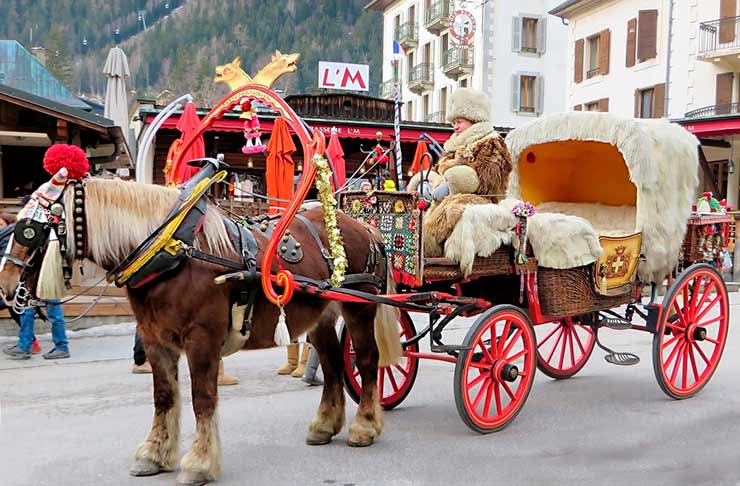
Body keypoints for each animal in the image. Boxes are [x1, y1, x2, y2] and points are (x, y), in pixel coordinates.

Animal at [0, 178, 398, 486]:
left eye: (30, 232)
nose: (5, 286)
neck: (170, 251)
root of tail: (363, 225)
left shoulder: (201, 339)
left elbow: (202, 399)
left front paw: (200, 462)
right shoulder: (155, 339)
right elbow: (164, 397)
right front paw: (155, 453)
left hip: (360, 307)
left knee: (366, 361)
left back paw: (364, 426)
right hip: (321, 316)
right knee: (332, 366)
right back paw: (325, 425)